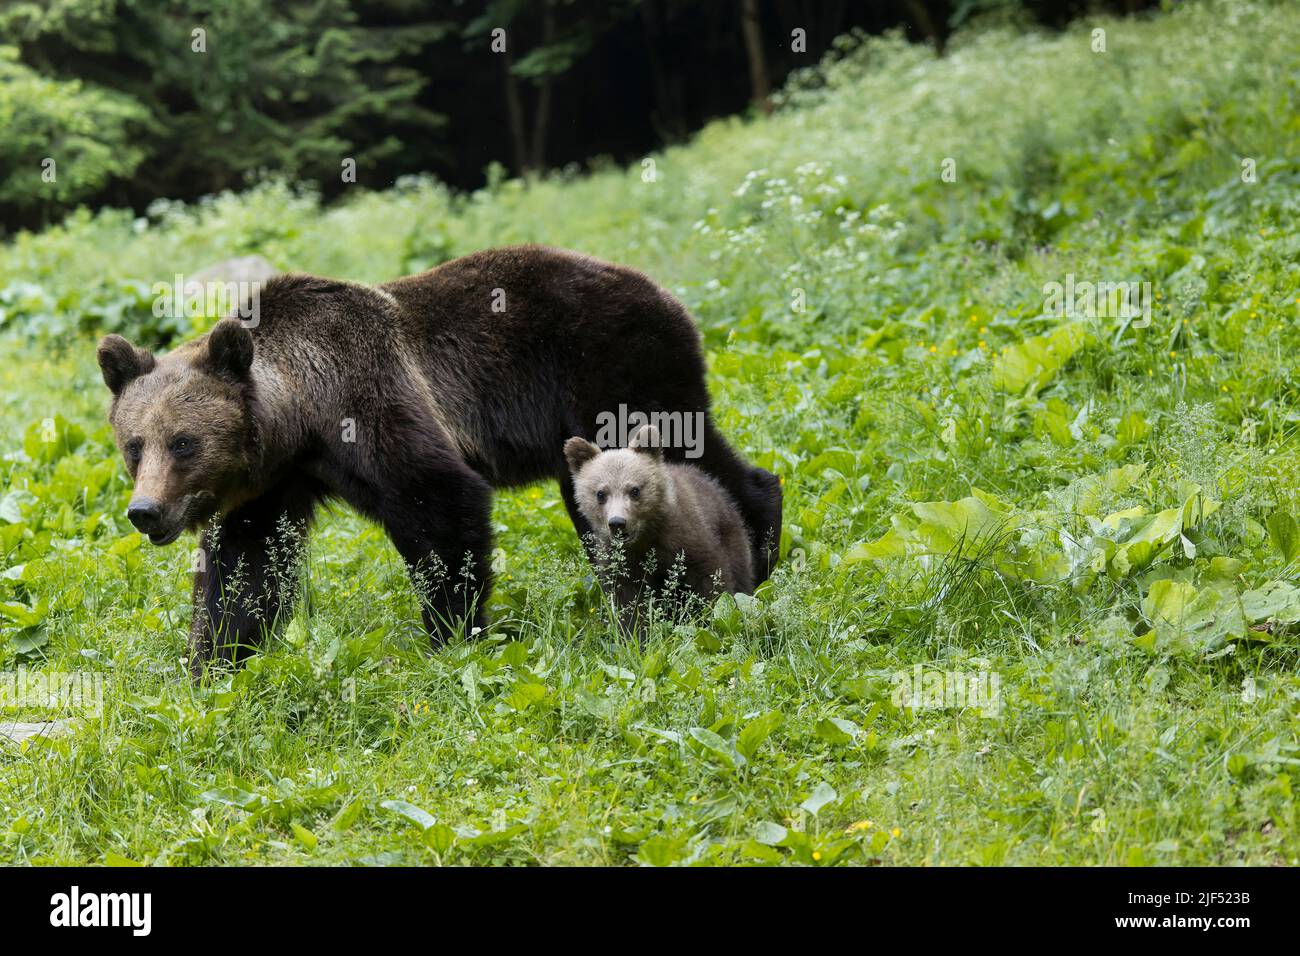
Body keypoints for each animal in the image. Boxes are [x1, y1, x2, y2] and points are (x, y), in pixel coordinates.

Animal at [98, 247, 780, 681]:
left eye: (183, 442)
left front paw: (451, 636)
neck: (300, 417)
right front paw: (214, 662)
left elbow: (440, 505)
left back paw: (760, 545)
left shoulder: (374, 403)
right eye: (134, 445)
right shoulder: (272, 484)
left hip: (617, 371)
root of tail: (664, 291)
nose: (145, 511)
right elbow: (246, 567)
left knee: (692, 457)